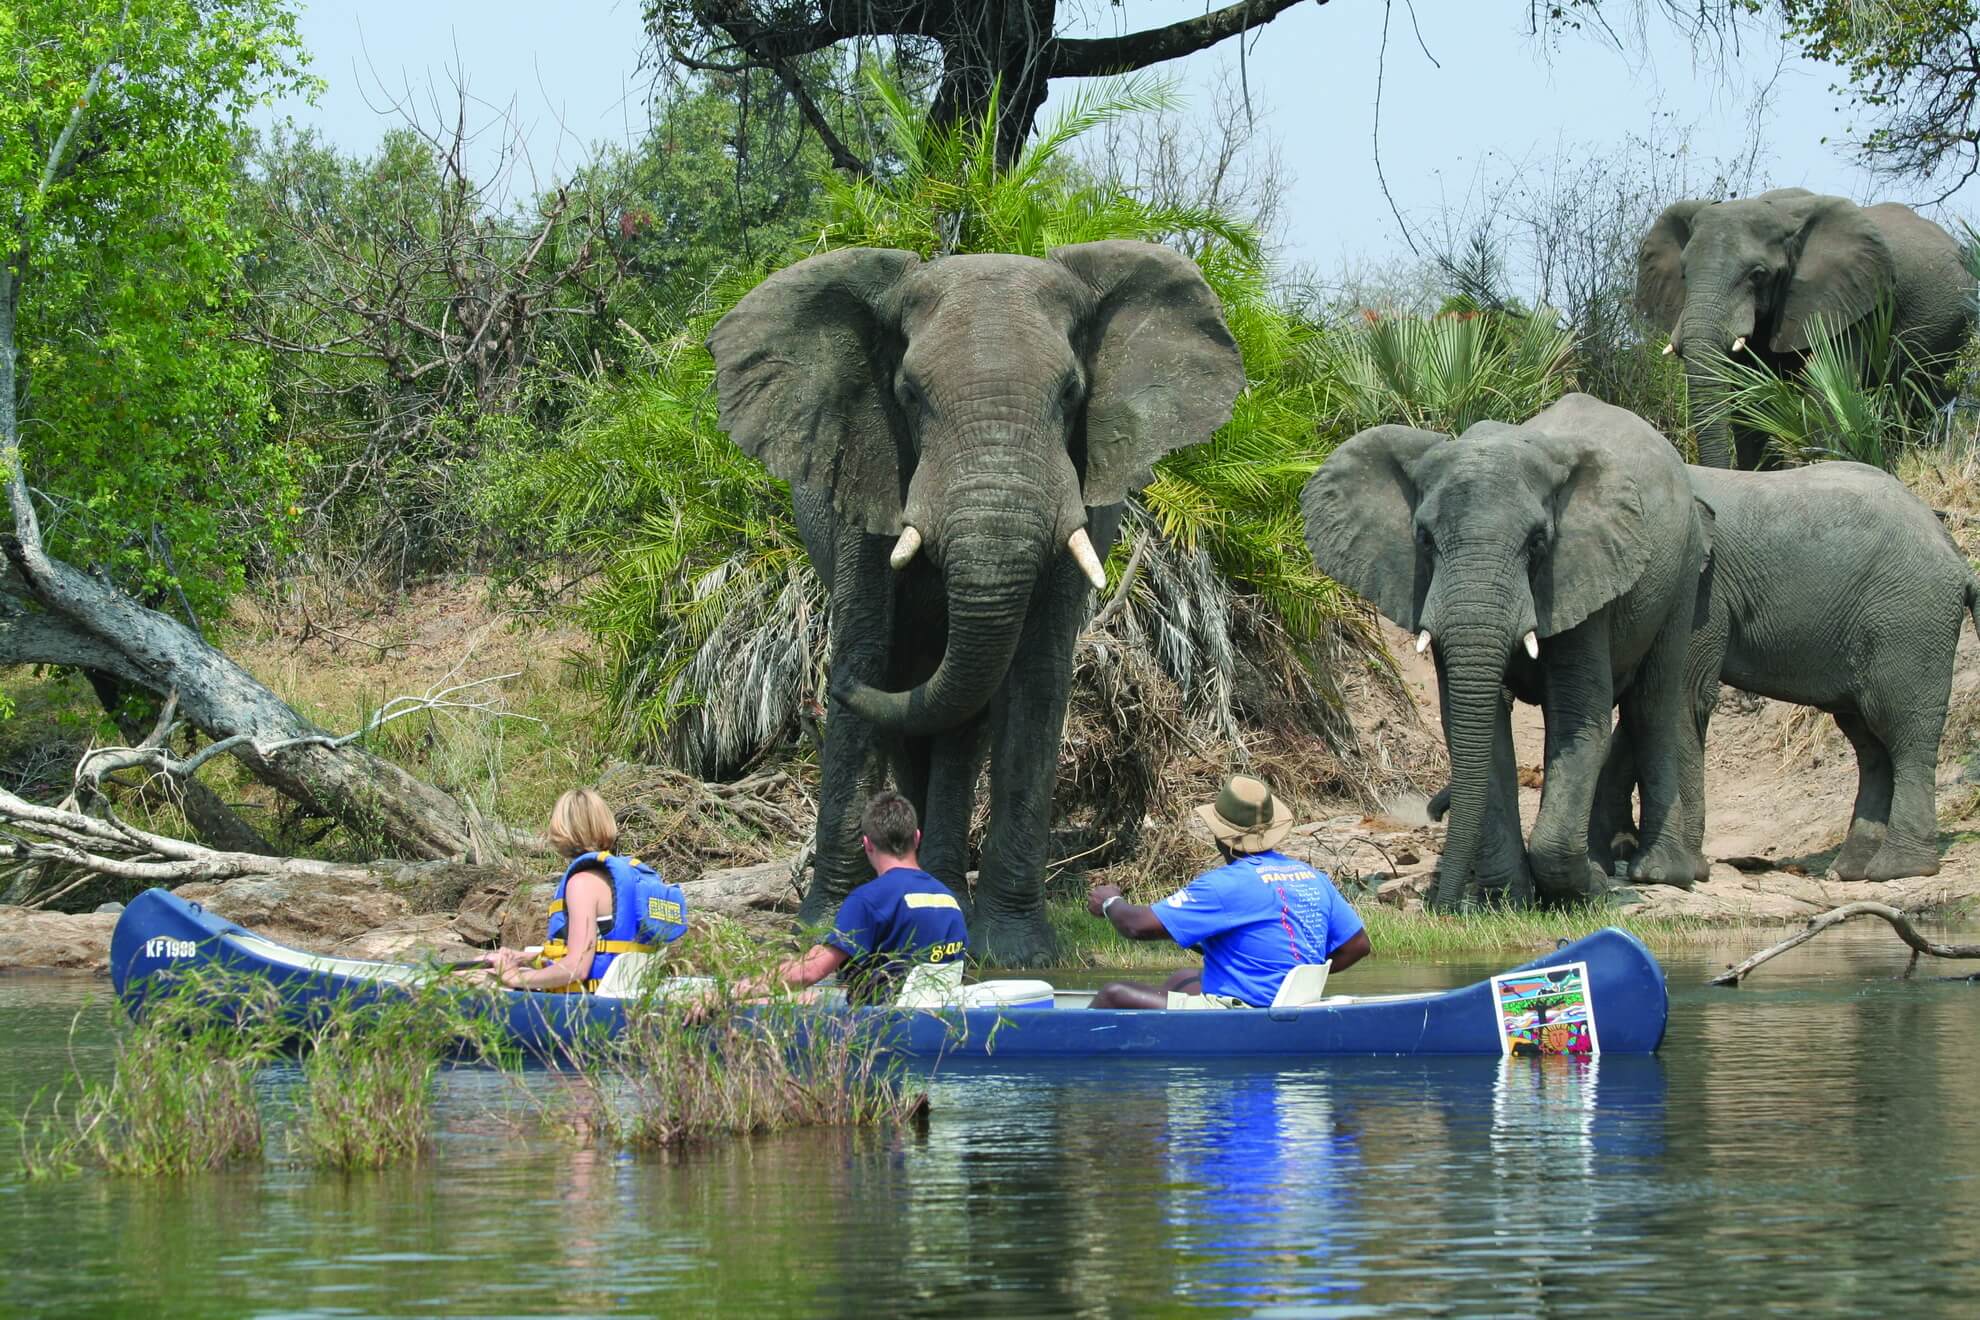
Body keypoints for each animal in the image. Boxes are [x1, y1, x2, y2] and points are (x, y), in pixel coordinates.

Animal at [704, 241, 1244, 962]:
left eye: (1071, 393)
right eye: (908, 394)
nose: (822, 695)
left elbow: (1036, 679)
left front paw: (1017, 954)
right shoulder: (868, 468)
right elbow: (868, 654)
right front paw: (824, 927)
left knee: (960, 724)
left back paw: (944, 896)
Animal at [1302, 393, 1712, 910]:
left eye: (1537, 541)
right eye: (1424, 539)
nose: (1439, 909)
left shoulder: (1580, 576)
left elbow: (1579, 720)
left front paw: (1588, 889)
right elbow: (1476, 726)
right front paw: (1507, 900)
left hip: (1682, 571)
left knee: (1653, 705)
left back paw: (1658, 874)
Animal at [1593, 461, 1980, 883]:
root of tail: (1958, 557)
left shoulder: (1699, 589)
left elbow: (1682, 697)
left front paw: (1683, 870)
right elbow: (1647, 707)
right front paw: (1618, 851)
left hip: (1909, 621)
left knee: (1901, 728)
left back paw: (1899, 869)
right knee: (1869, 741)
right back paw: (1853, 869)